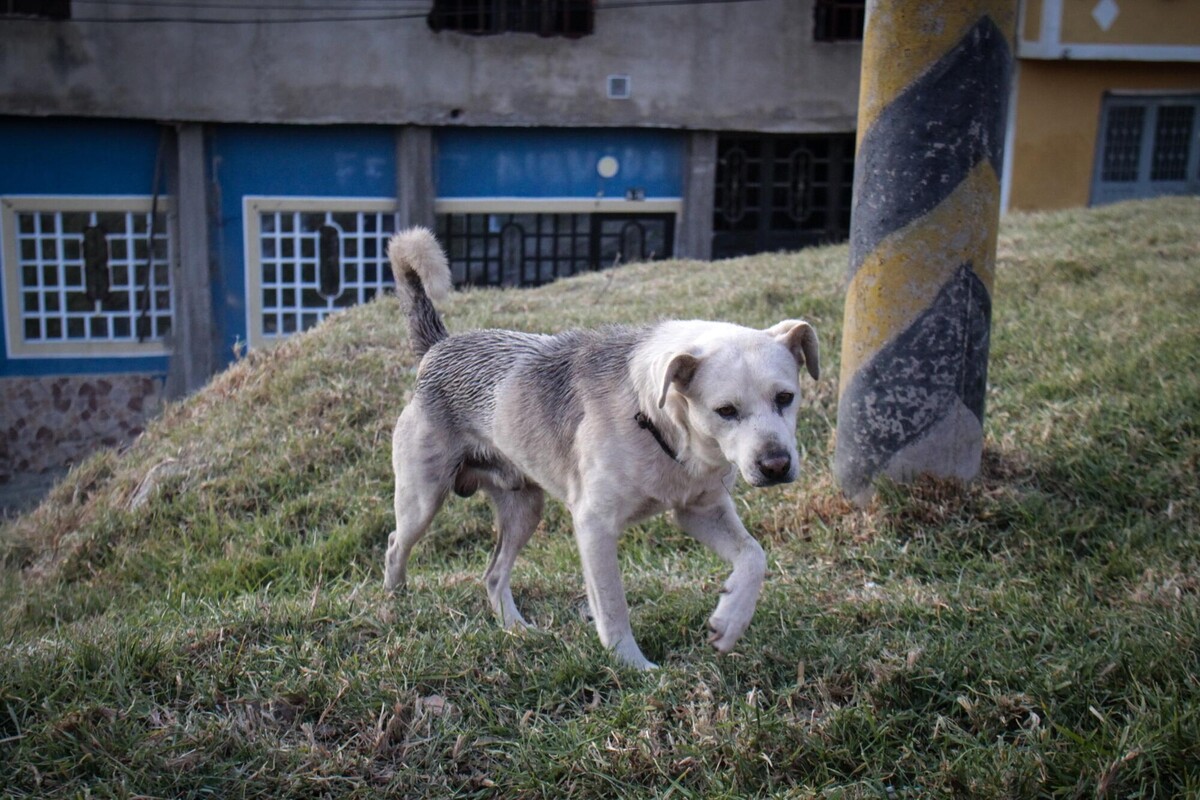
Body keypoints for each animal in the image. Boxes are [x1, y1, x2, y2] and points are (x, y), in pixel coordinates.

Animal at [384, 226, 816, 671]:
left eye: (785, 397)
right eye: (725, 411)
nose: (776, 465)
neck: (655, 419)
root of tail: (438, 347)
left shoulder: (700, 510)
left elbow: (753, 556)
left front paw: (730, 620)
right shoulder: (595, 525)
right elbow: (612, 605)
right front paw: (633, 667)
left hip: (524, 508)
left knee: (493, 574)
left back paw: (516, 628)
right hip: (422, 498)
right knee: (396, 545)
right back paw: (395, 602)